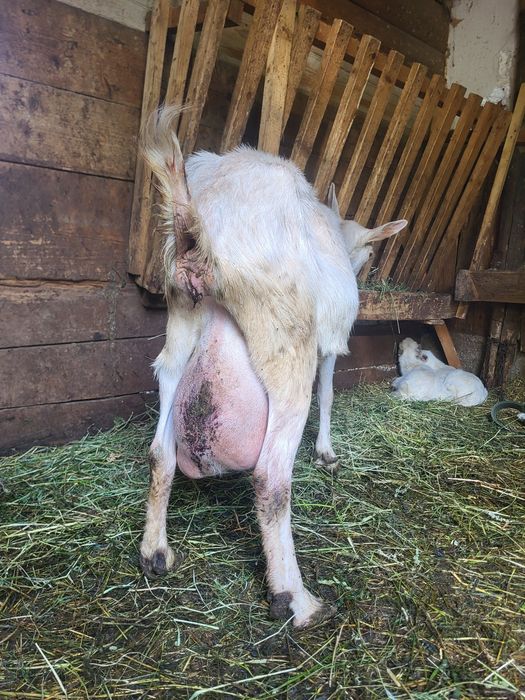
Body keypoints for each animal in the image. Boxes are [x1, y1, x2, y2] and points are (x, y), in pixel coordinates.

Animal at [139, 107, 359, 628]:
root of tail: (196, 229)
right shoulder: (328, 347)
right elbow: (329, 392)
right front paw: (326, 452)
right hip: (286, 346)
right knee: (271, 481)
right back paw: (295, 599)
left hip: (179, 328)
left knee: (160, 451)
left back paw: (155, 550)